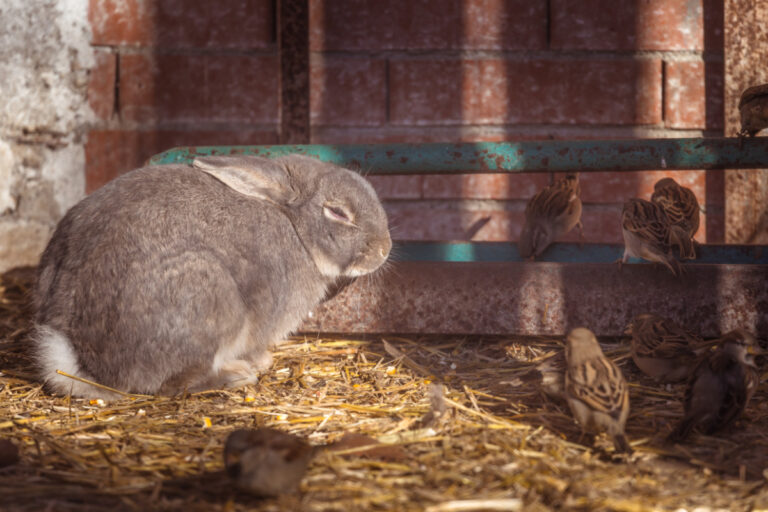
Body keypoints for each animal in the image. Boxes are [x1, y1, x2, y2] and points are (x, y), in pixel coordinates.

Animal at [32, 154, 391, 398]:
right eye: (338, 212)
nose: (384, 249)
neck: (294, 226)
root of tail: (83, 360)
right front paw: (262, 360)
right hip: (211, 300)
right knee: (172, 384)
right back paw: (236, 375)